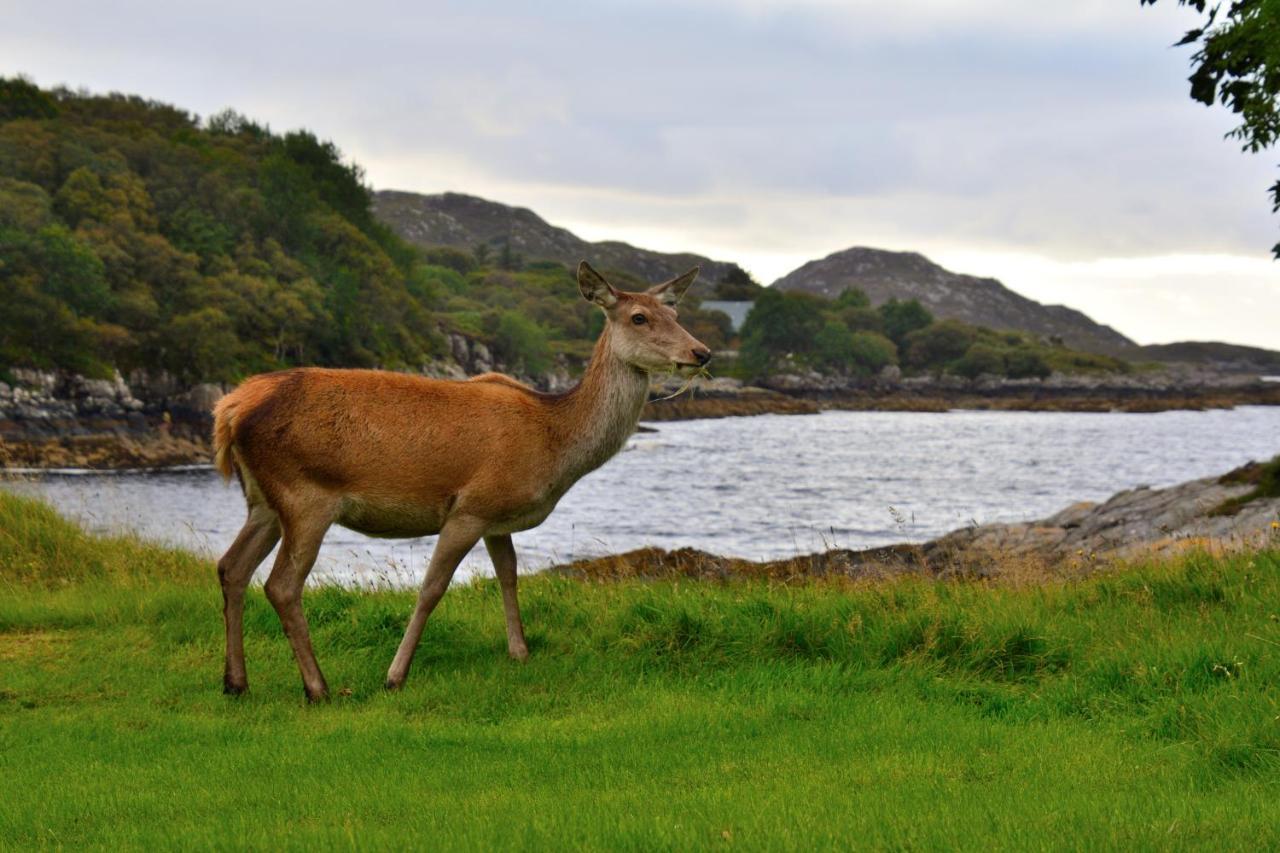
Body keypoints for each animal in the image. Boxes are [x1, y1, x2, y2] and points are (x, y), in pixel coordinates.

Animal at [209, 258, 711, 696]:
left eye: (675, 312)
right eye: (639, 317)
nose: (701, 352)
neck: (553, 443)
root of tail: (230, 409)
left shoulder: (497, 516)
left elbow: (509, 575)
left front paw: (520, 652)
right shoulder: (470, 507)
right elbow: (432, 588)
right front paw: (395, 676)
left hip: (263, 501)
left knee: (231, 567)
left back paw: (236, 682)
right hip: (306, 496)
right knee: (281, 585)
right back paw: (318, 688)